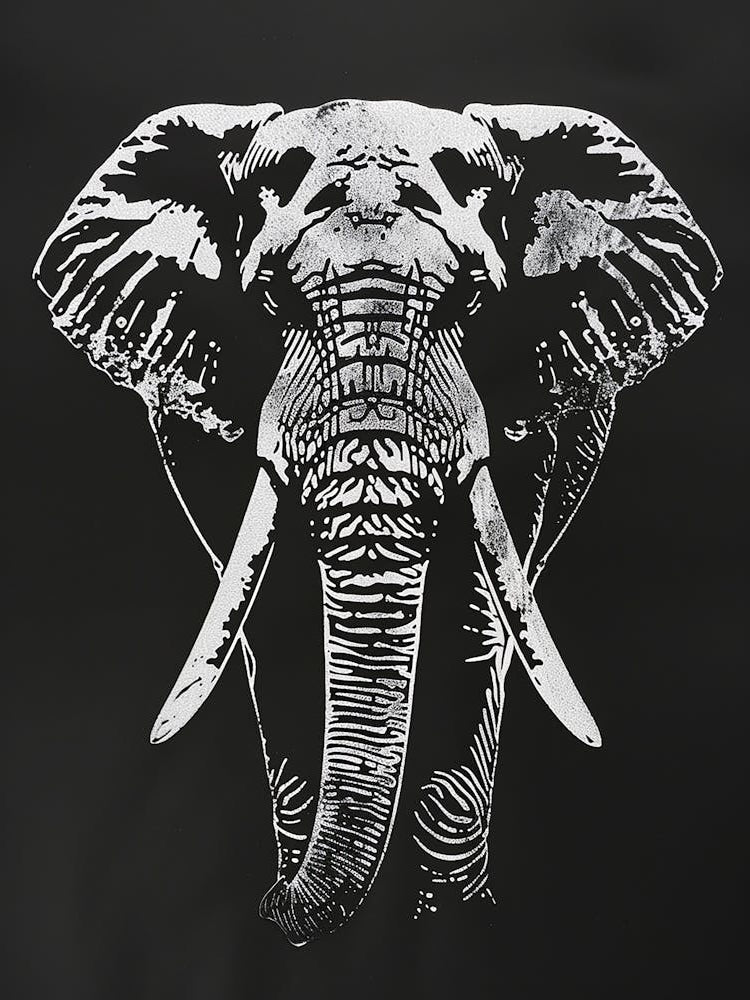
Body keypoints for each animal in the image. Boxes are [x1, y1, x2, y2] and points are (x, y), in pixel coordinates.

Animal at [34, 99, 721, 946]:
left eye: (471, 302)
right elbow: (268, 610)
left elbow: (472, 614)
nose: (270, 907)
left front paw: (450, 914)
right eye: (273, 302)